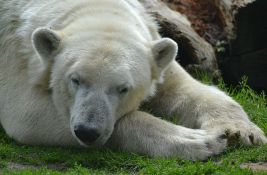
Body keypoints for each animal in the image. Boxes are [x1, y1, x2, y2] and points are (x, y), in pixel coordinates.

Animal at [0, 0, 266, 160]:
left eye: (123, 88)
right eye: (75, 80)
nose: (87, 131)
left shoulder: (154, 48)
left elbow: (182, 89)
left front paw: (240, 132)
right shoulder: (15, 55)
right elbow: (27, 114)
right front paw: (201, 140)